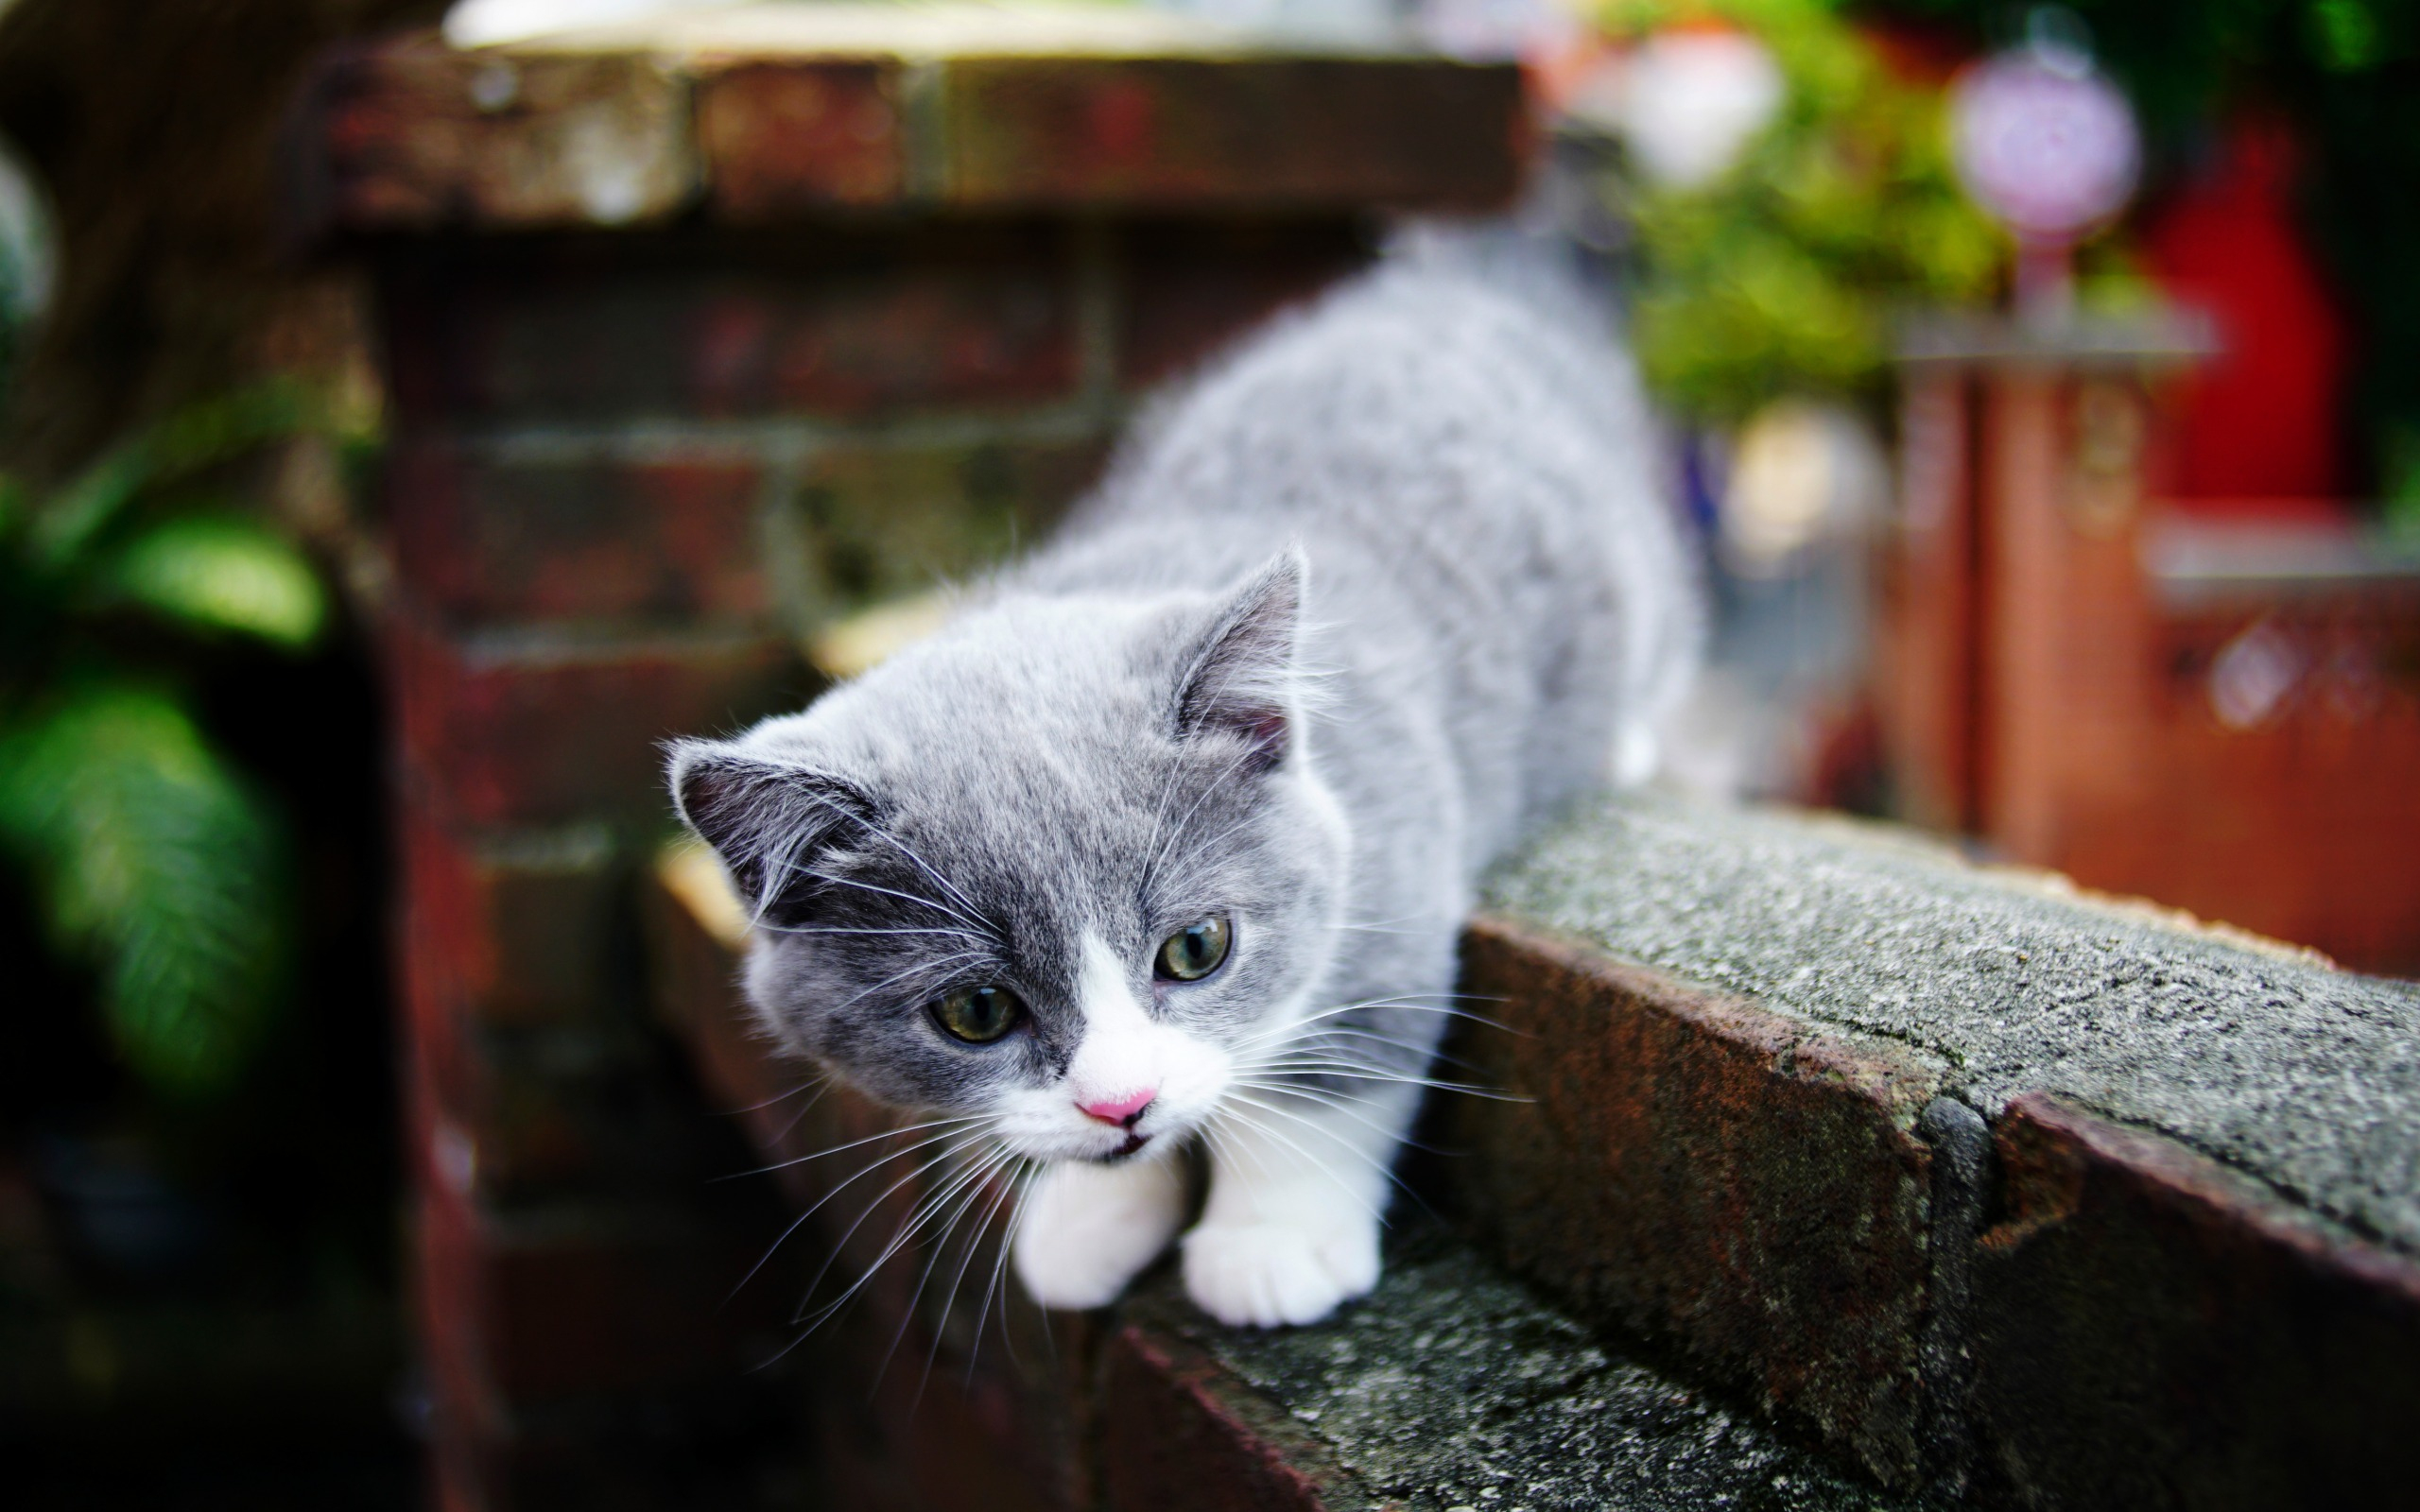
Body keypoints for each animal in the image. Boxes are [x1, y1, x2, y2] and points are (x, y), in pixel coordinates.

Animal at [672, 230, 1703, 1325]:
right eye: (976, 1011)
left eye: (1197, 948)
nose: (1119, 1102)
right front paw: (1086, 1214)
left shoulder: (1391, 854)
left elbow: (1332, 1060)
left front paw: (1267, 1247)